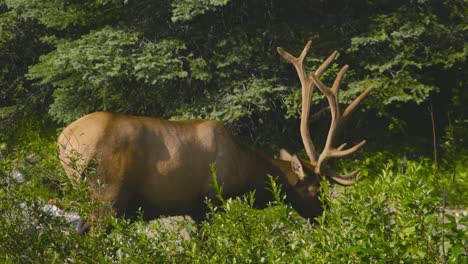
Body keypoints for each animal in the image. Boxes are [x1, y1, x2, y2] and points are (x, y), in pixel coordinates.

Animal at [59, 41, 372, 233]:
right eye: (316, 189)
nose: (327, 216)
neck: (245, 176)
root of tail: (64, 142)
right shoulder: (210, 201)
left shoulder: (193, 209)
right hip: (107, 197)